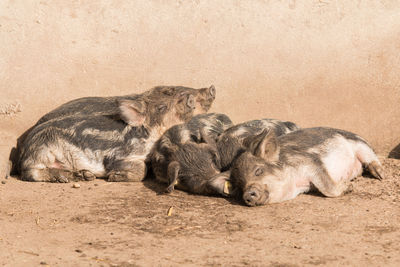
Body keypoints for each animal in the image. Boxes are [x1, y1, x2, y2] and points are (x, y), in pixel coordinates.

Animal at [231, 127, 384, 207]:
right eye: (240, 185)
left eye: (258, 171)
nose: (247, 194)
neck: (296, 185)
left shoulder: (309, 161)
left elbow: (327, 188)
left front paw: (349, 186)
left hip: (360, 144)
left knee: (371, 156)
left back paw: (380, 175)